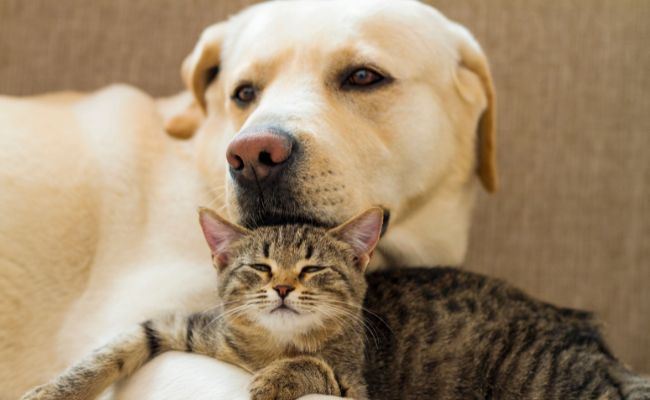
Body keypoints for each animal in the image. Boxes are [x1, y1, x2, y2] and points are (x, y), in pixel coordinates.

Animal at [20, 208, 648, 398]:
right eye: (260, 267)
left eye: (313, 268)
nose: (282, 287)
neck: (268, 346)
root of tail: (577, 323)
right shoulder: (179, 325)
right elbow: (111, 349)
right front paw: (51, 388)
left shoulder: (354, 386)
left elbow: (316, 366)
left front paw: (277, 377)